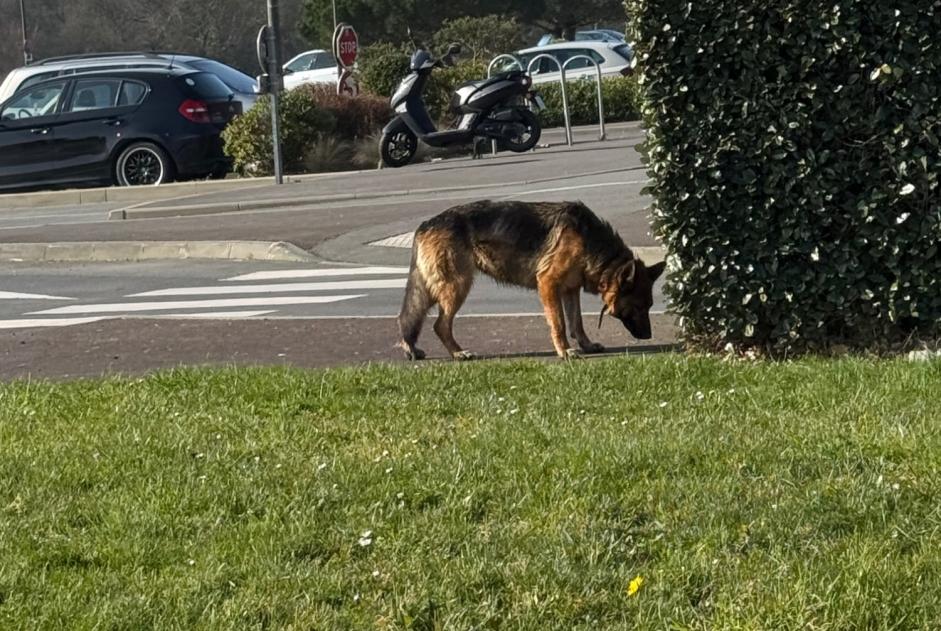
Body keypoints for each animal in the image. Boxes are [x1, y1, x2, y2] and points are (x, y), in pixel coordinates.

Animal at [392, 201, 664, 360]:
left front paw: (586, 345)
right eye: (638, 307)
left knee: (408, 317)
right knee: (439, 324)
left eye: (649, 306)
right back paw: (458, 353)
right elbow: (559, 324)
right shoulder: (548, 285)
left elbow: (576, 322)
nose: (649, 336)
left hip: (435, 288)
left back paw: (411, 349)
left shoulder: (570, 289)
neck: (591, 243)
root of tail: (425, 224)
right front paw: (565, 350)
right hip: (456, 286)